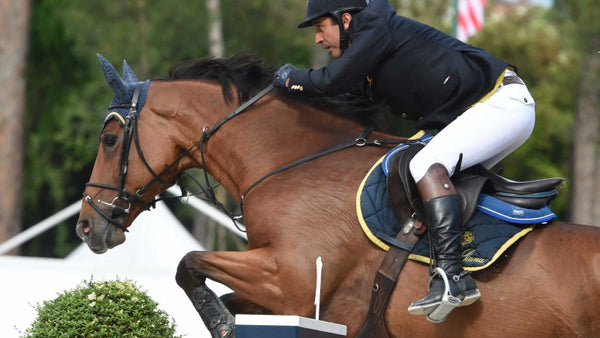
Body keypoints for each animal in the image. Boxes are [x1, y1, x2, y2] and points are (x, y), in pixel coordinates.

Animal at [76, 54, 600, 336]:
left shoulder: (290, 276)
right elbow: (222, 291)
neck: (289, 163)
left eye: (109, 138)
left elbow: (188, 264)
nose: (86, 226)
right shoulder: (294, 299)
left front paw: (221, 324)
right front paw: (225, 319)